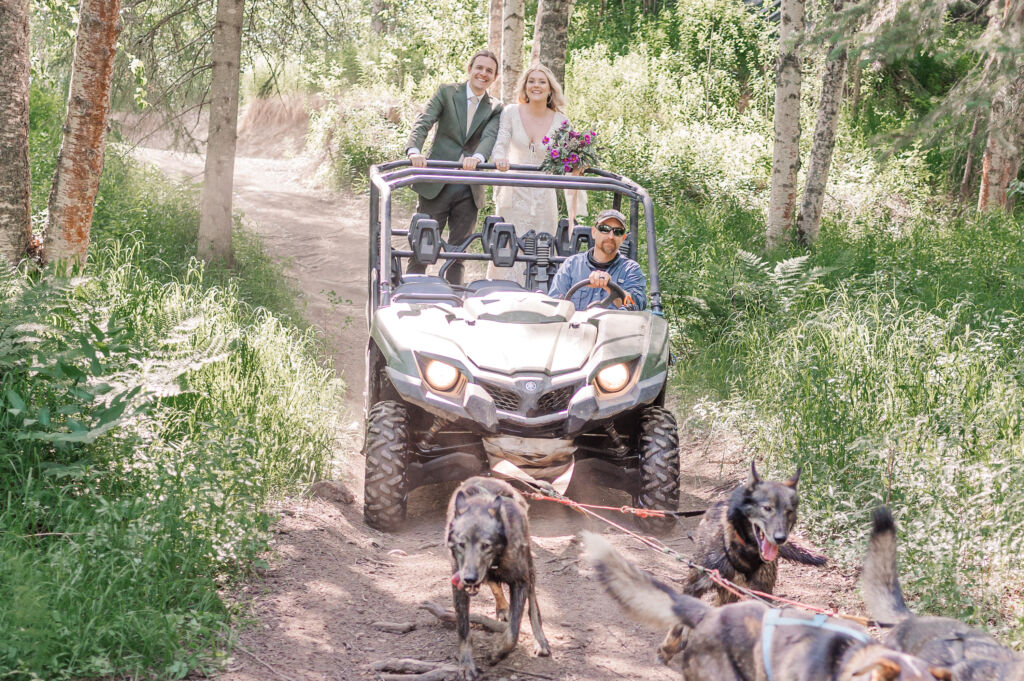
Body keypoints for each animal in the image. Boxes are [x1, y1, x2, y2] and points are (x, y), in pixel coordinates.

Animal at [442, 477, 548, 679]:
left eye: (486, 545)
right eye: (461, 544)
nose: (469, 578)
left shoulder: (520, 583)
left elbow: (513, 632)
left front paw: (497, 653)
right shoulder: (458, 587)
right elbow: (463, 630)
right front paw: (466, 665)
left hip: (529, 570)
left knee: (533, 606)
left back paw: (540, 640)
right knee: (494, 584)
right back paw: (503, 607)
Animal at [659, 464, 827, 659]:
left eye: (789, 512)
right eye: (767, 508)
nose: (780, 538)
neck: (742, 552)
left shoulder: (758, 594)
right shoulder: (695, 584)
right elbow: (679, 624)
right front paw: (668, 647)